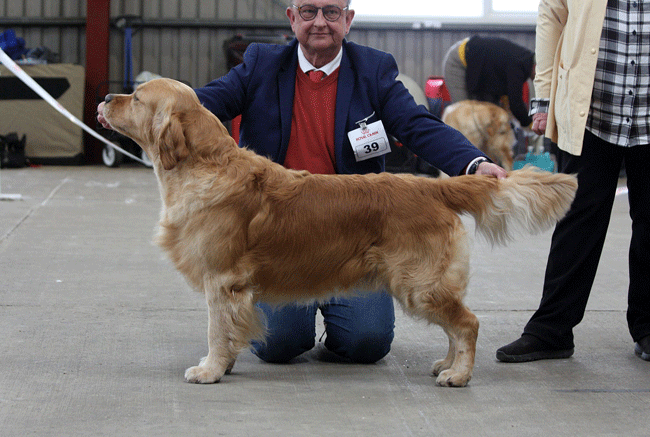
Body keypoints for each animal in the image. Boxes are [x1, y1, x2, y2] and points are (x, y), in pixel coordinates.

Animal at [98, 77, 576, 384]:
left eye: (136, 97)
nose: (103, 97)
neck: (203, 167)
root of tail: (432, 186)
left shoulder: (223, 279)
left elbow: (218, 330)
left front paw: (210, 370)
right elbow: (228, 331)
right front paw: (223, 365)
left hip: (418, 284)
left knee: (468, 323)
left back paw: (459, 375)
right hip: (425, 284)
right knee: (456, 324)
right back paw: (446, 364)